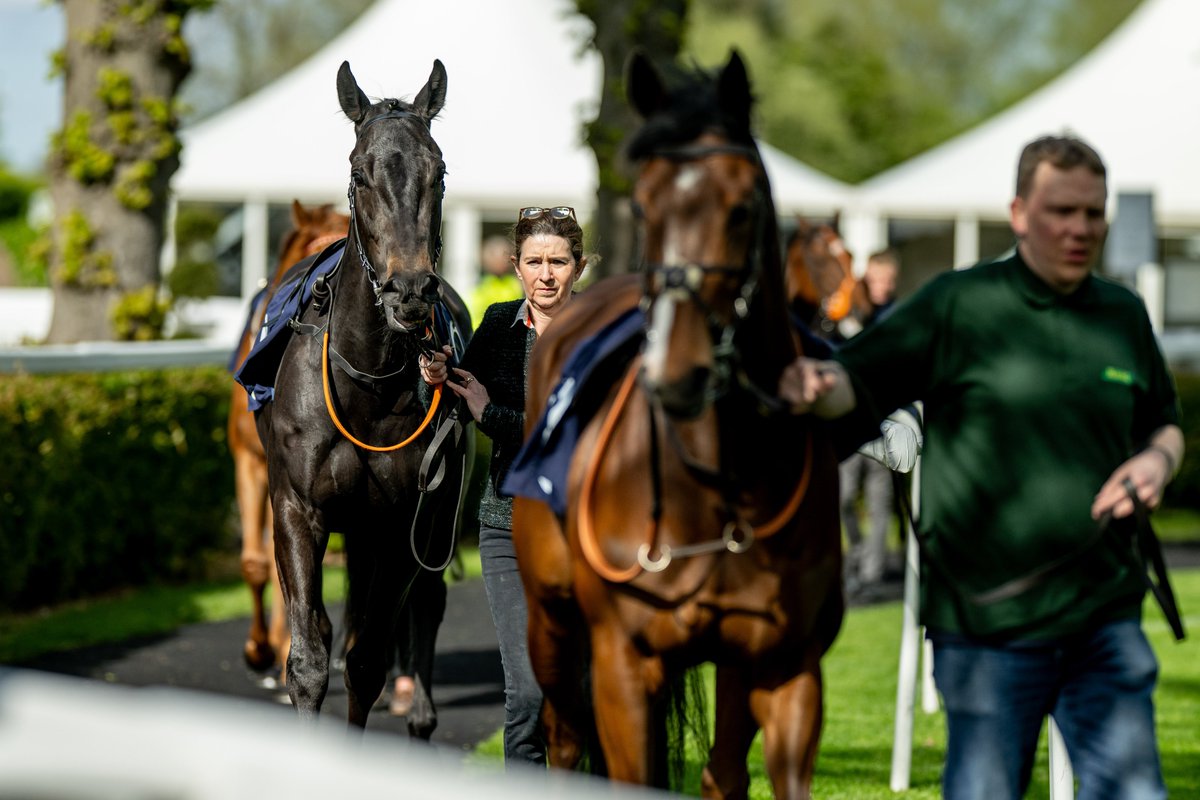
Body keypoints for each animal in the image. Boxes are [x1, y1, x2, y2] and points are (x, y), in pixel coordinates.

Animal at [253, 61, 468, 738]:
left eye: (439, 171)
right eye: (358, 173)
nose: (410, 290)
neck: (367, 383)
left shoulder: (404, 521)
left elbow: (368, 659)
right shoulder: (297, 508)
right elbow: (310, 657)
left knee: (426, 604)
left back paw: (421, 714)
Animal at [513, 53, 844, 796]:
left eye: (743, 207)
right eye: (643, 205)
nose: (678, 372)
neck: (722, 483)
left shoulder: (786, 666)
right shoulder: (624, 663)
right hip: (549, 620)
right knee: (563, 733)